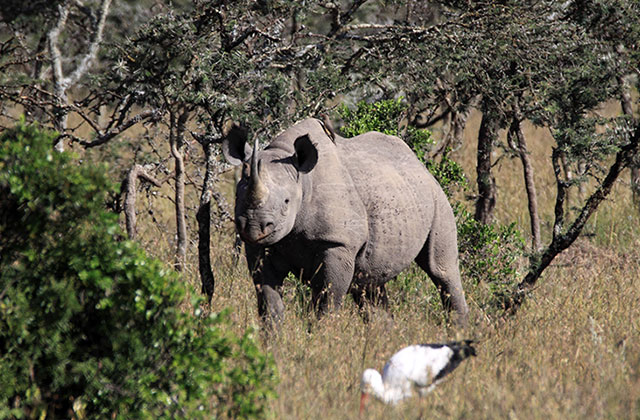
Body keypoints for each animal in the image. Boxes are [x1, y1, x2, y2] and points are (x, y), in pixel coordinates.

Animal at [222, 118, 469, 328]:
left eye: (286, 202)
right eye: (238, 198)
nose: (254, 227)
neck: (303, 182)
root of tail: (421, 164)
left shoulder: (338, 244)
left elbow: (326, 304)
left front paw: (317, 341)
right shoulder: (260, 247)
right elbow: (269, 303)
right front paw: (272, 345)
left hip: (437, 199)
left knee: (441, 270)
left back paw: (458, 332)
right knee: (369, 282)